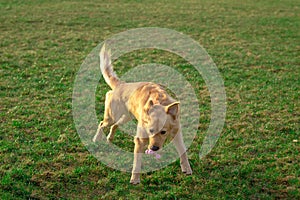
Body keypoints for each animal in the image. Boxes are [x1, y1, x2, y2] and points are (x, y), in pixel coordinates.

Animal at [92, 44, 193, 184]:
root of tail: (121, 85)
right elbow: (137, 161)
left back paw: (109, 138)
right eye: (150, 131)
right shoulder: (140, 139)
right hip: (112, 116)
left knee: (115, 126)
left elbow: (183, 151)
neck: (159, 101)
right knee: (102, 123)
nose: (154, 148)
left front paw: (186, 168)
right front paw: (135, 179)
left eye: (163, 132)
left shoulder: (176, 132)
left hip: (126, 117)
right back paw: (96, 139)